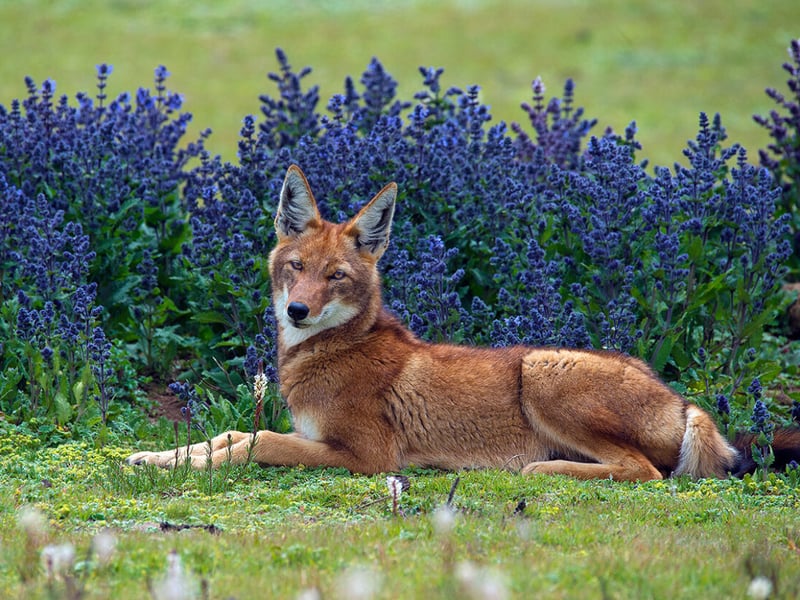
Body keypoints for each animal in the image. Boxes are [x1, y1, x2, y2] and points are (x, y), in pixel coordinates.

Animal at [127, 165, 800, 481]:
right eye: (296, 268)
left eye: (335, 277)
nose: (297, 311)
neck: (325, 352)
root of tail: (682, 401)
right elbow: (224, 437)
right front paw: (152, 458)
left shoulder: (370, 457)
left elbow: (256, 441)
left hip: (540, 371)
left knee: (644, 472)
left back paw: (542, 469)